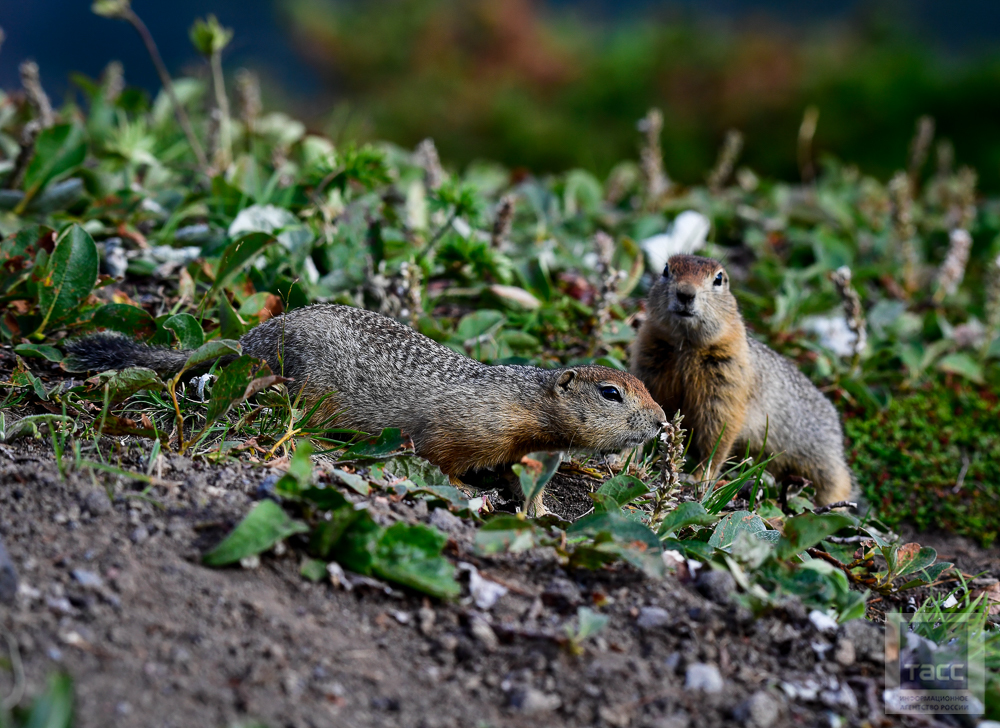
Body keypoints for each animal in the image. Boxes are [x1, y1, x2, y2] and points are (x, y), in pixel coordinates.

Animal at [68, 302, 664, 506]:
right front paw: (471, 488)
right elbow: (439, 455)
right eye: (611, 393)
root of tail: (253, 338)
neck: (526, 403)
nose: (661, 422)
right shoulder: (468, 426)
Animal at [632, 256, 852, 506]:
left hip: (823, 461)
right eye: (666, 270)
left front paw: (699, 476)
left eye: (719, 278)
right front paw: (631, 456)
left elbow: (719, 432)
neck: (685, 345)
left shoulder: (727, 382)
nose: (685, 293)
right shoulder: (648, 362)